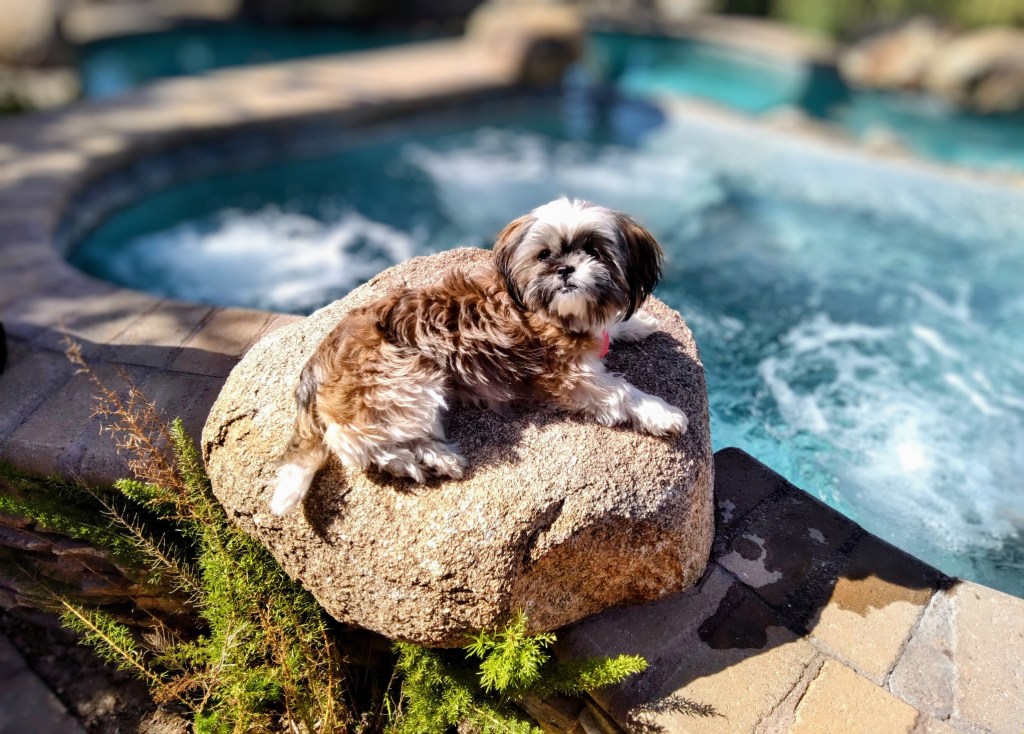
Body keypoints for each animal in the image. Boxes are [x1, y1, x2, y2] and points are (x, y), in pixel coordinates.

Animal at [272, 196, 688, 515]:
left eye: (594, 251)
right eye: (544, 255)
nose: (565, 269)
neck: (546, 310)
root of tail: (319, 360)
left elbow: (610, 330)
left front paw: (633, 325)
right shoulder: (569, 376)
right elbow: (621, 392)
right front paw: (660, 412)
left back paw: (434, 456)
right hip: (406, 377)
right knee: (350, 441)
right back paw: (414, 460)